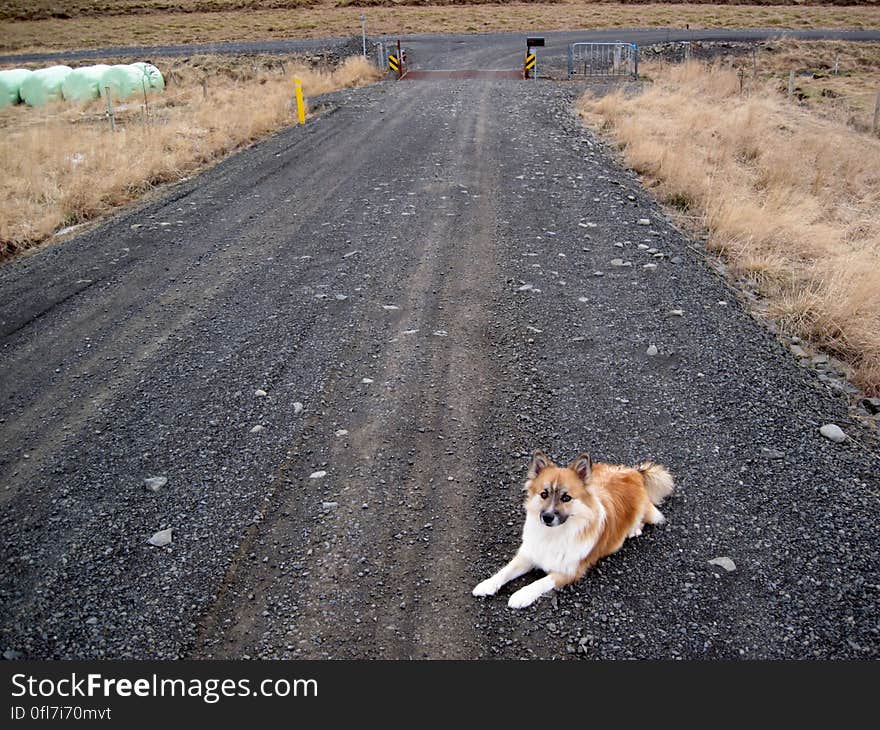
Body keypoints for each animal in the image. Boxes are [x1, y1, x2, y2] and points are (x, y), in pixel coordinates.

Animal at [474, 446, 672, 604]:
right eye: (544, 494)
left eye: (566, 498)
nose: (547, 517)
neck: (554, 534)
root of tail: (634, 472)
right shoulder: (529, 555)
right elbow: (505, 571)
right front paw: (487, 585)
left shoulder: (569, 572)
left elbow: (540, 582)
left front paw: (520, 596)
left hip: (642, 509)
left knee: (646, 516)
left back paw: (634, 529)